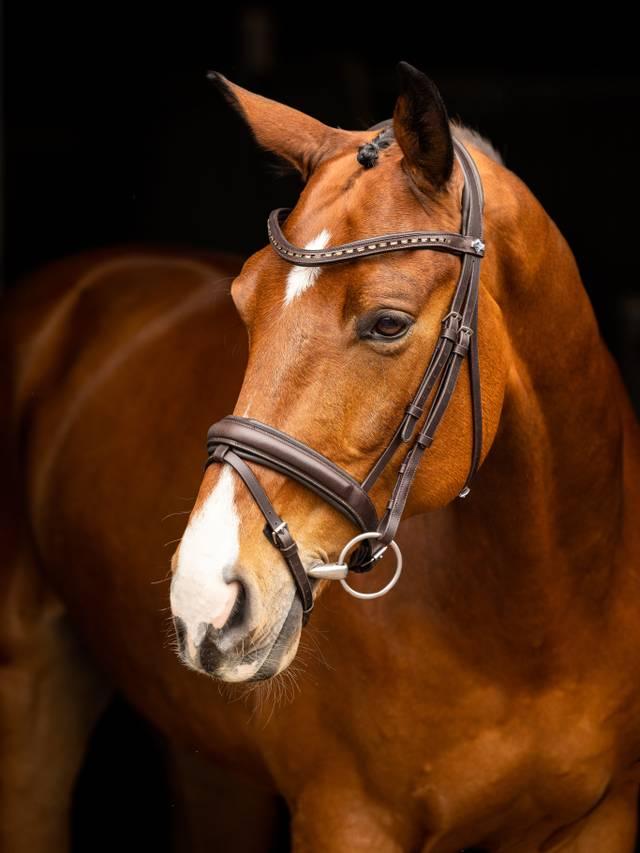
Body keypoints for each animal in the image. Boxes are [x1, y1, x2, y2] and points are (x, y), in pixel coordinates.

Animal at [2, 61, 640, 852]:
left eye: (388, 322)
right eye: (243, 303)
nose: (205, 597)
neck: (534, 626)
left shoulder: (603, 817)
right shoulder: (349, 816)